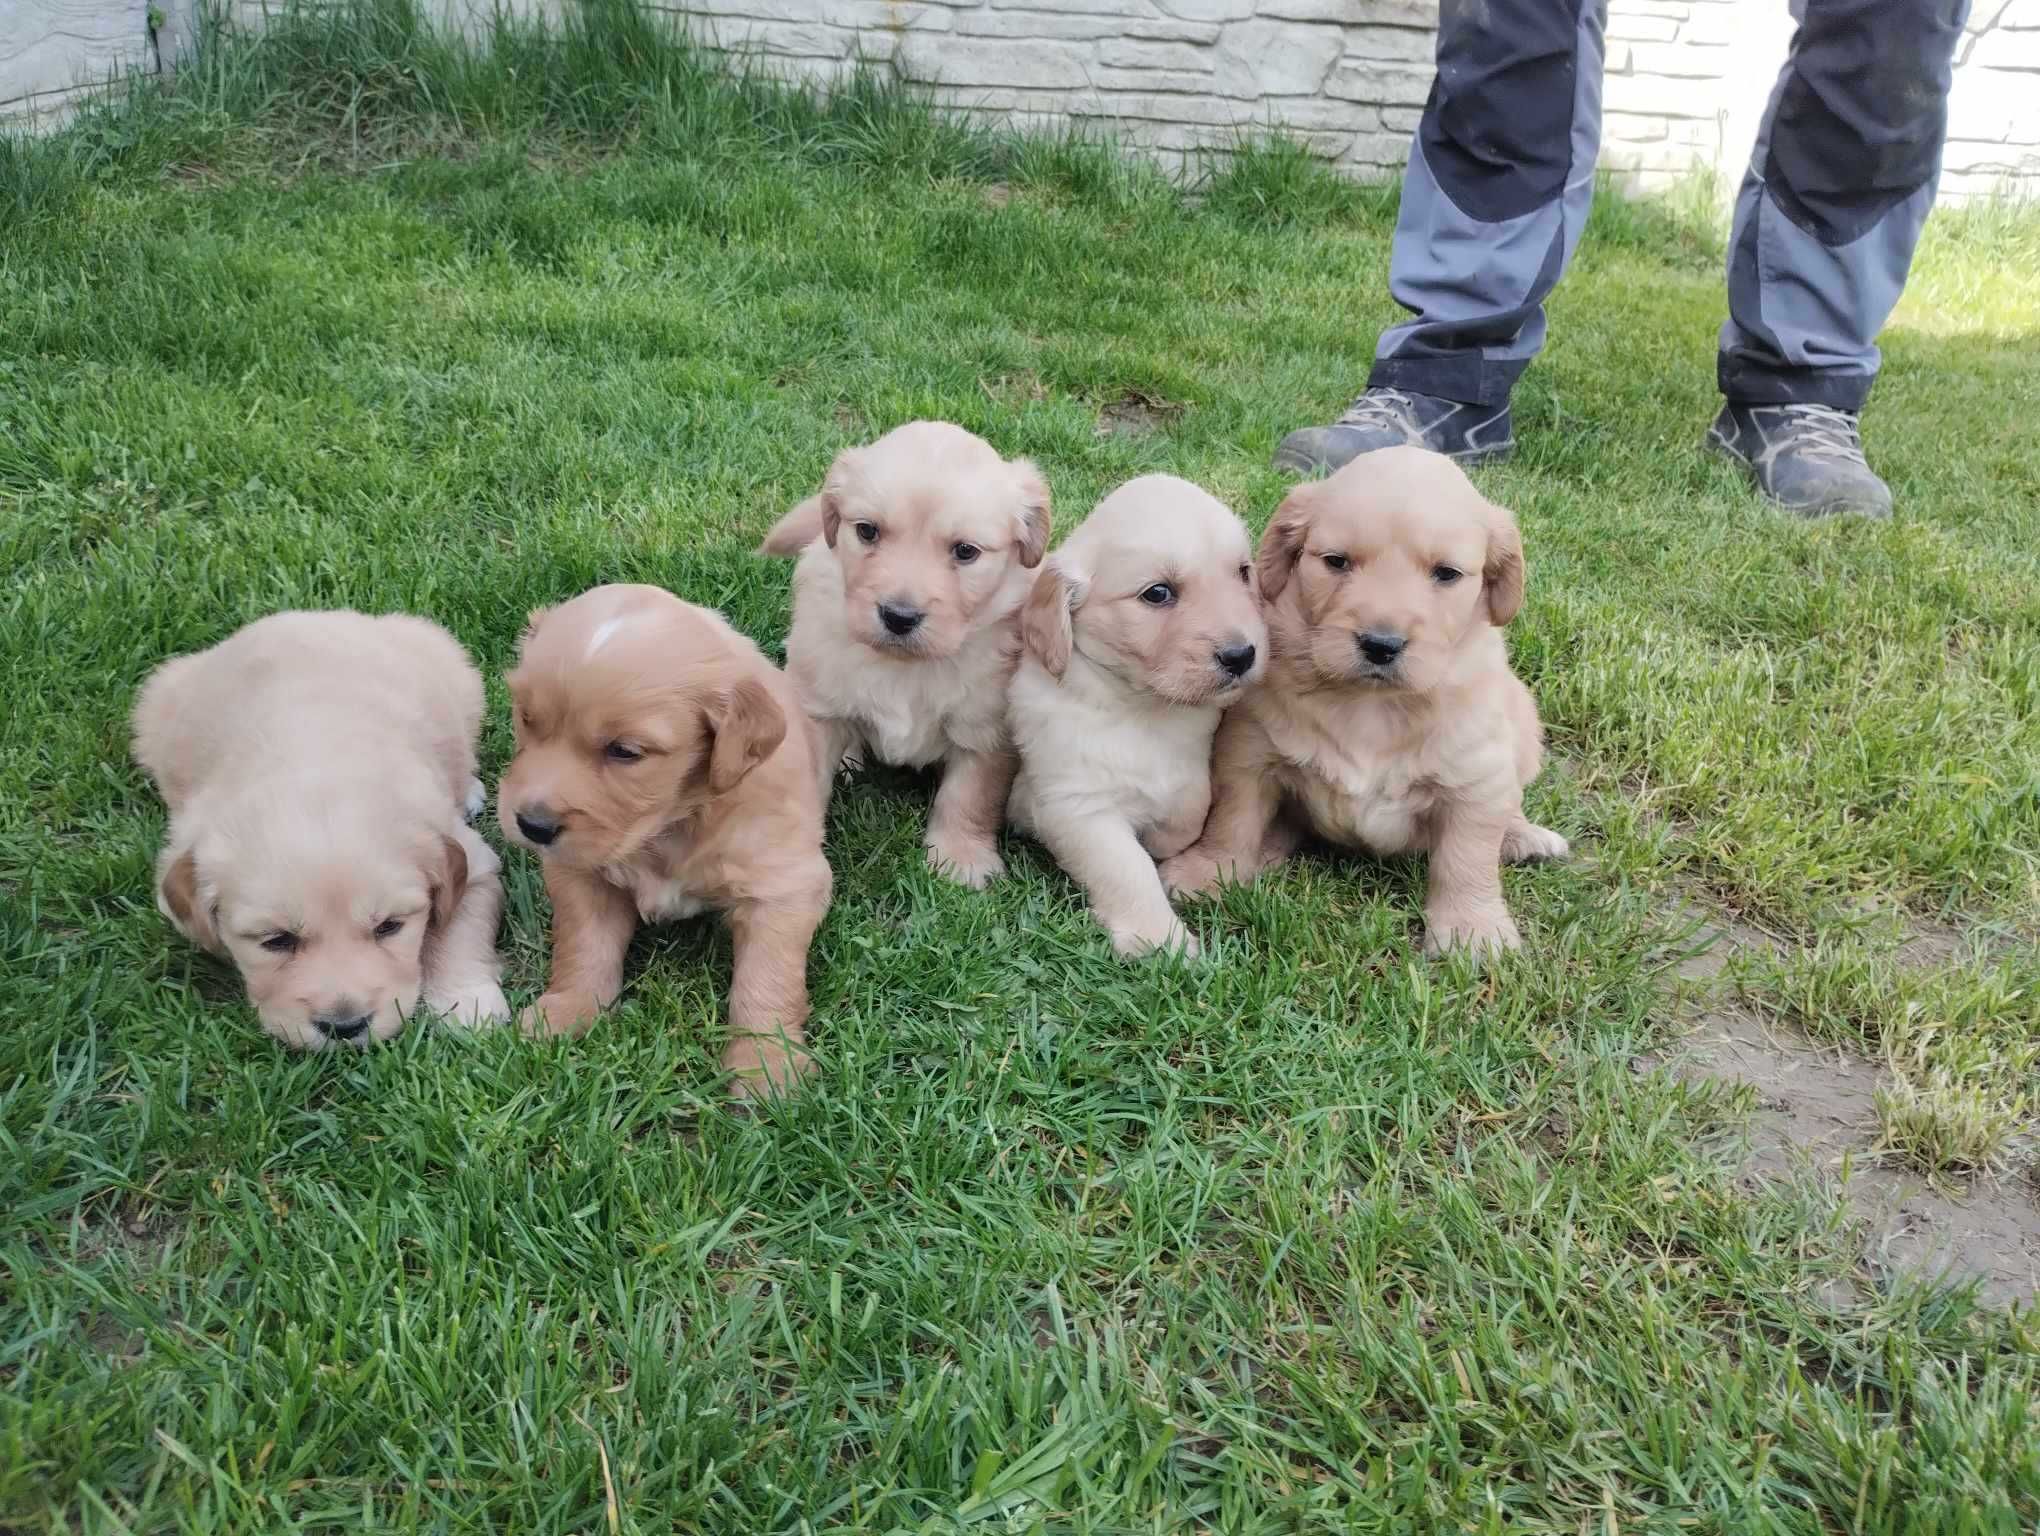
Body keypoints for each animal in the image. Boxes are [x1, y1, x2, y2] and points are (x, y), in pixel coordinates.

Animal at [131, 611, 510, 1052]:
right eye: (276, 940)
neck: (314, 764)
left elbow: (457, 931)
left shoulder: (473, 862)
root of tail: (306, 615)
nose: (344, 1026)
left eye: (389, 927)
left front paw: (468, 1006)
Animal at [497, 579, 832, 1093]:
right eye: (527, 719)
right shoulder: (579, 873)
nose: (533, 826)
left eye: (625, 751)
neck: (669, 824)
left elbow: (768, 976)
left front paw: (766, 1065)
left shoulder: (784, 884)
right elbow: (583, 943)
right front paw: (568, 1011)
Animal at [762, 426, 1052, 893]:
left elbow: (970, 797)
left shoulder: (985, 729)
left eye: (966, 551)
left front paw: (959, 859)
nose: (899, 617)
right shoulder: (817, 710)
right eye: (867, 531)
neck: (905, 668)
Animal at [1003, 477, 1256, 958]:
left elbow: (1189, 810)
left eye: (1244, 573)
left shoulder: (1189, 773)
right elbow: (1128, 867)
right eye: (1158, 593)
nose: (1243, 655)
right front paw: (1161, 940)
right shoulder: (1076, 804)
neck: (1140, 710)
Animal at [1158, 442, 1566, 954]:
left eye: (1446, 574)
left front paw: (1472, 929)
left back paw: (1524, 837)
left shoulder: (1477, 779)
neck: (1371, 706)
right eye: (1336, 561)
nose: (1381, 644)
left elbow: (1467, 856)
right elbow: (1234, 818)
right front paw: (1209, 869)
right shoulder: (1249, 752)